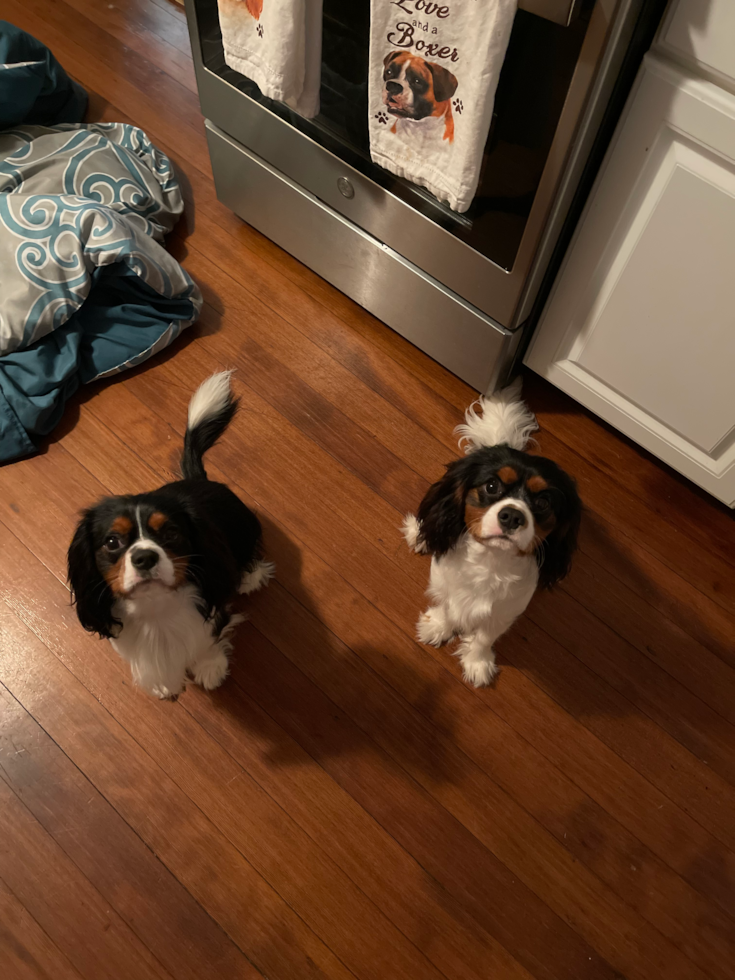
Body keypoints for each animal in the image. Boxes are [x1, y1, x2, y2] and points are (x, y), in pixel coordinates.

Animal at [67, 372, 274, 700]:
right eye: (112, 542)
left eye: (171, 533)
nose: (144, 557)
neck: (156, 608)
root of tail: (198, 479)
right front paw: (163, 683)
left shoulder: (211, 611)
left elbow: (208, 639)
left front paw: (210, 668)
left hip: (245, 530)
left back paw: (249, 578)